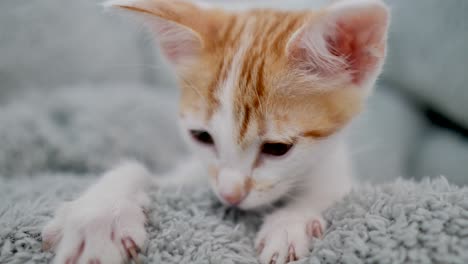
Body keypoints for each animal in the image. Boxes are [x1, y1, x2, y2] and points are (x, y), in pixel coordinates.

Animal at [42, 0, 390, 262]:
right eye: (201, 137)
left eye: (278, 149)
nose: (229, 195)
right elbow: (138, 171)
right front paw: (99, 215)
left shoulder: (337, 171)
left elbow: (328, 191)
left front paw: (291, 220)